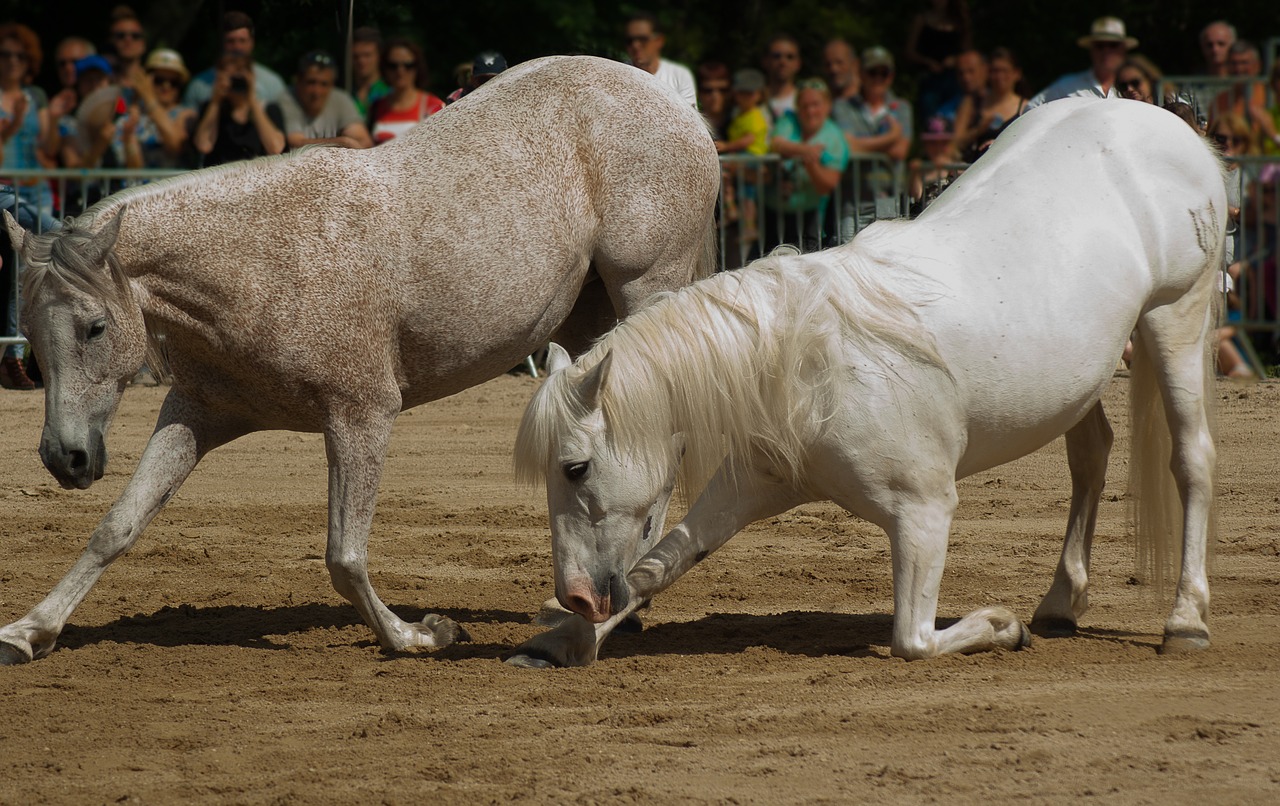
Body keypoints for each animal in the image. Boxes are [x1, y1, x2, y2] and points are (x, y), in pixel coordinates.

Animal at [0, 53, 721, 665]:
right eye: (29, 335)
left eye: (94, 327)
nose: (65, 458)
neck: (264, 264)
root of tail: (676, 106)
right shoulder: (197, 413)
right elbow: (118, 526)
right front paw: (29, 631)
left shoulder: (362, 416)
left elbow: (344, 557)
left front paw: (418, 636)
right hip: (589, 322)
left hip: (644, 288)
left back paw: (618, 606)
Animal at [504, 99, 1223, 670]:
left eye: (574, 467)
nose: (573, 593)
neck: (804, 366)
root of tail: (1166, 121)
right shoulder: (750, 486)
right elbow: (659, 565)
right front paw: (563, 642)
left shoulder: (924, 513)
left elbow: (914, 640)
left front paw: (1002, 625)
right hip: (1085, 379)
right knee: (1091, 457)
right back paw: (1061, 602)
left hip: (1176, 316)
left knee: (1191, 459)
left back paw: (1185, 620)